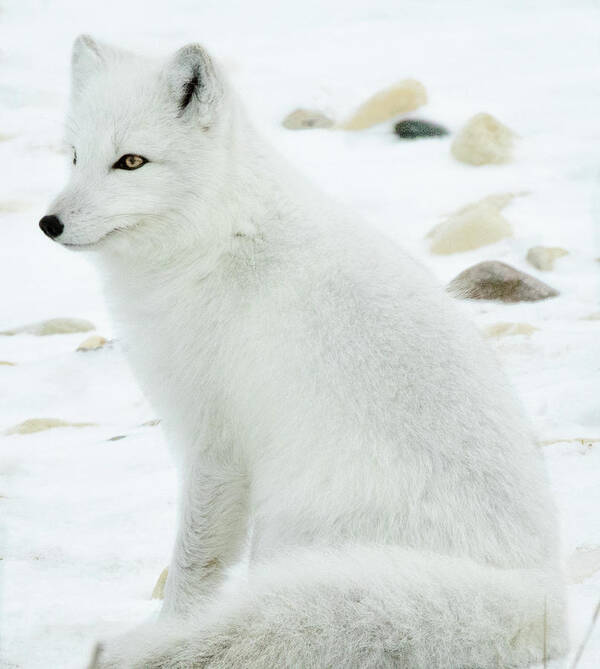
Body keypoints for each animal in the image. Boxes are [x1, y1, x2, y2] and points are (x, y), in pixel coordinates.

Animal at [41, 35, 568, 668]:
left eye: (131, 162)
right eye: (74, 157)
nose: (48, 222)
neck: (215, 238)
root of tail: (538, 598)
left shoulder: (213, 442)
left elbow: (193, 564)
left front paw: (168, 630)